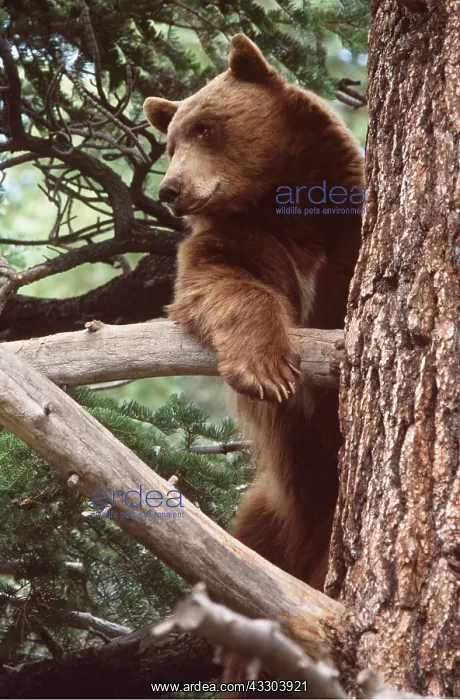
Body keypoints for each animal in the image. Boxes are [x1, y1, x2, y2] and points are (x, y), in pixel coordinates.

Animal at [144, 34, 364, 682]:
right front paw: (267, 371)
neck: (280, 209)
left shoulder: (345, 230)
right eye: (170, 143)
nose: (170, 190)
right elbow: (222, 283)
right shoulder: (240, 241)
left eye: (206, 129)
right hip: (268, 522)